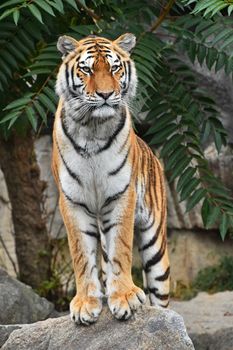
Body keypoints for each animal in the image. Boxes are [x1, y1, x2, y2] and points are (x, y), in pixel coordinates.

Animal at [52, 32, 169, 326]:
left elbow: (121, 249)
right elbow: (82, 255)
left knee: (161, 297)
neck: (92, 128)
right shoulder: (72, 201)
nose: (105, 95)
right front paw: (86, 303)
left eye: (115, 68)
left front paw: (125, 297)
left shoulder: (121, 195)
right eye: (87, 69)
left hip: (156, 246)